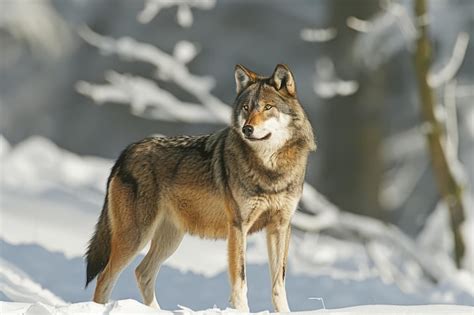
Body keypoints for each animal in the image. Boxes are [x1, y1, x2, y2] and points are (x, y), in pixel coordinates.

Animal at [85, 63, 314, 312]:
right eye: (246, 107)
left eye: (268, 107)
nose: (247, 129)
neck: (271, 170)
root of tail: (125, 152)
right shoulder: (238, 227)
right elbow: (240, 281)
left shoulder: (280, 227)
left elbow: (278, 284)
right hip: (136, 237)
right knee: (105, 278)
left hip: (170, 239)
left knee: (142, 273)